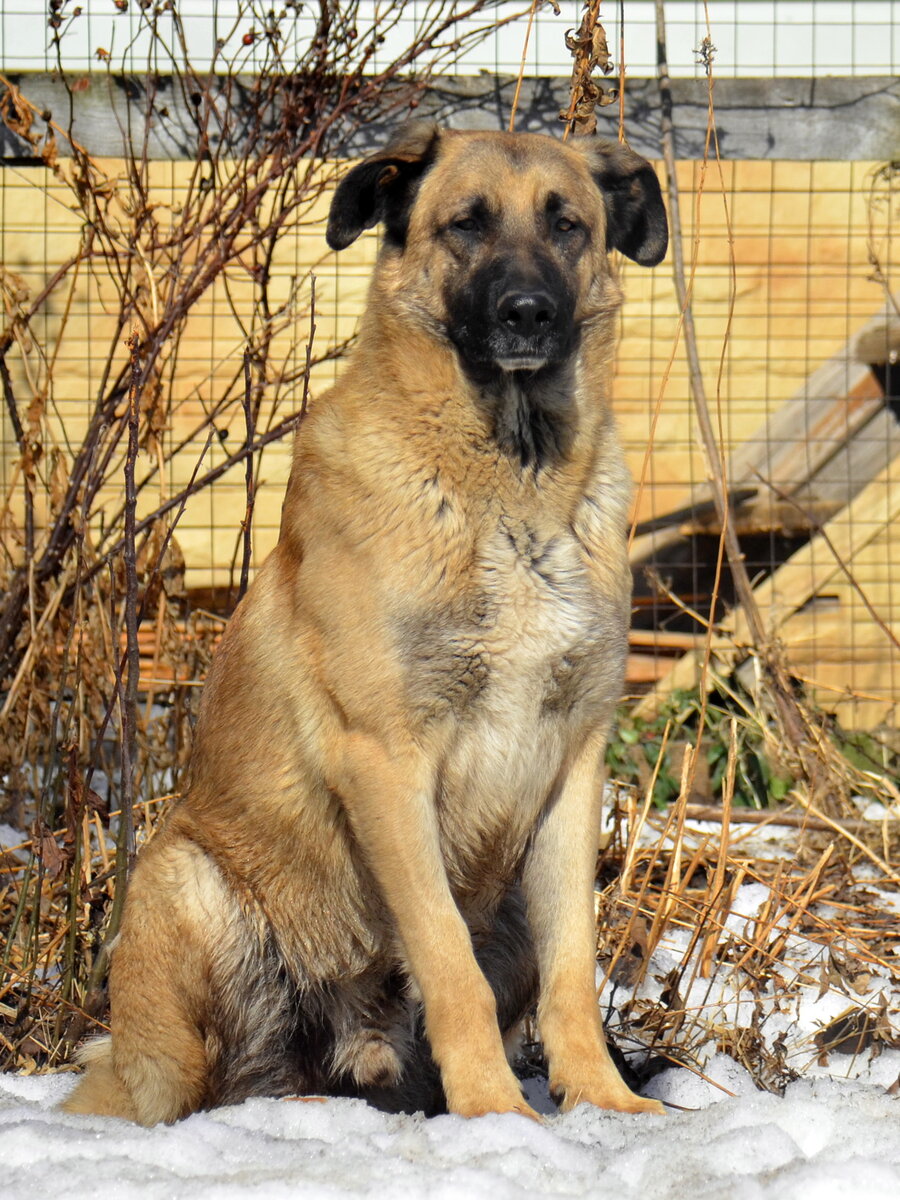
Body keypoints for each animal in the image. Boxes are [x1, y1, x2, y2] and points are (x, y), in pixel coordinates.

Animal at [63, 121, 672, 1123]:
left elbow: (573, 969)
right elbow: (447, 961)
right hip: (187, 888)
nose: (529, 313)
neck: (508, 484)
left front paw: (599, 1101)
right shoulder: (387, 760)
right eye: (465, 224)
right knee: (198, 1087)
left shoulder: (573, 765)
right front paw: (497, 1113)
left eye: (568, 225)